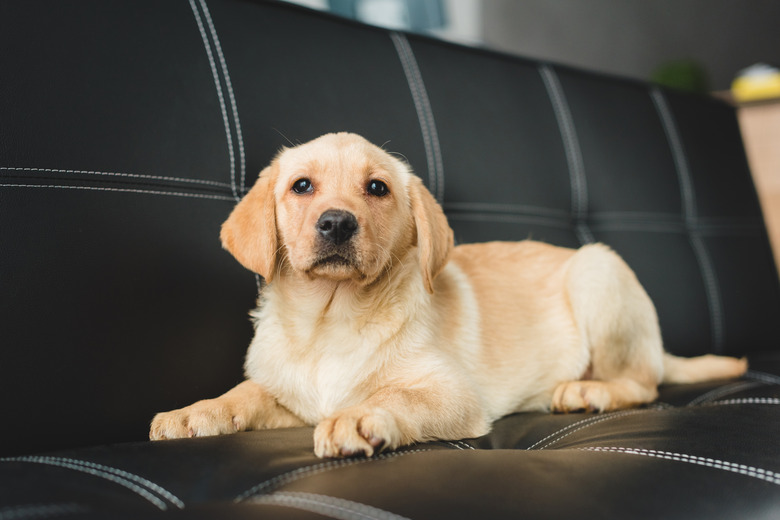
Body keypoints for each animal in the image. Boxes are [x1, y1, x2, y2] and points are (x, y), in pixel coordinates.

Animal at [149, 132, 748, 458]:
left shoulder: (454, 394)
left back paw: (589, 390)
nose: (337, 223)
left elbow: (397, 397)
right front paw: (195, 411)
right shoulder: (288, 396)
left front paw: (361, 416)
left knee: (643, 382)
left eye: (377, 188)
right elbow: (246, 394)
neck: (331, 319)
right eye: (301, 187)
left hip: (597, 270)